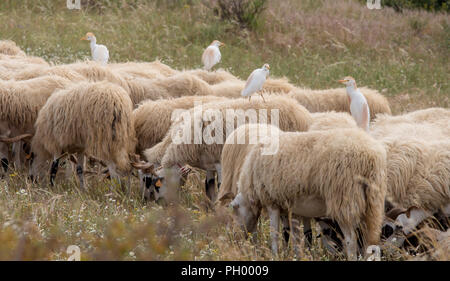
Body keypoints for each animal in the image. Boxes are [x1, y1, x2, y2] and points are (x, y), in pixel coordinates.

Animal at [138, 95, 312, 201]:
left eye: (153, 182)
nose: (148, 201)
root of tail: (298, 108)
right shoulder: (208, 164)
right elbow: (209, 188)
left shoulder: (220, 162)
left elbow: (221, 188)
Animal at [230, 128, 388, 260]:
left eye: (235, 209)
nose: (235, 240)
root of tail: (369, 156)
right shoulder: (291, 207)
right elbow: (294, 234)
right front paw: (294, 254)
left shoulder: (271, 201)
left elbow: (275, 233)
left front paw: (275, 254)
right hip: (373, 202)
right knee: (371, 240)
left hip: (344, 199)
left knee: (351, 240)